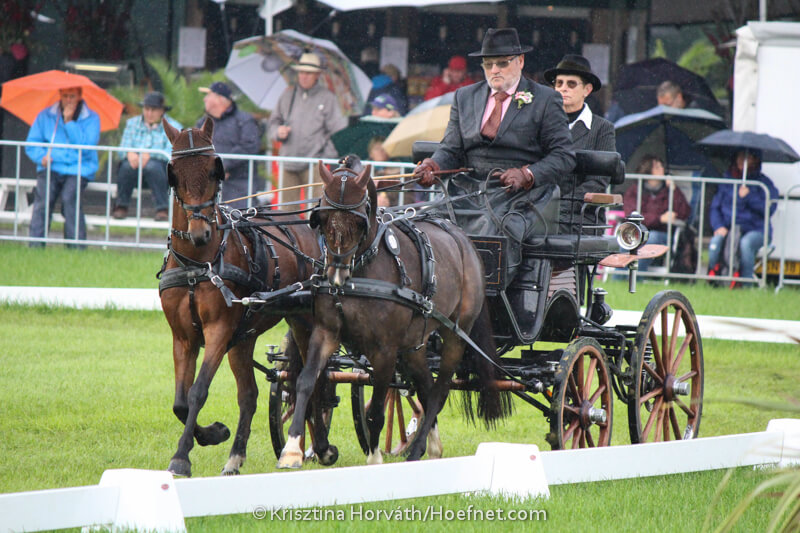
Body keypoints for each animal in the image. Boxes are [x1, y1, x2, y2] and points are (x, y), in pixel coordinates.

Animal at [159, 118, 321, 477]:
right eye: (174, 173)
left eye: (214, 169)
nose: (200, 232)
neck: (198, 264)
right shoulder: (183, 336)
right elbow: (178, 401)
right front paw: (214, 434)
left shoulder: (218, 330)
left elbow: (198, 391)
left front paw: (181, 457)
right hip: (244, 338)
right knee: (250, 394)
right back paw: (236, 456)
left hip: (304, 322)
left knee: (313, 381)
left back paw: (314, 447)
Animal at [276, 157, 511, 468]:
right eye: (322, 219)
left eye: (359, 220)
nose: (336, 274)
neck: (362, 269)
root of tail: (464, 240)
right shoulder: (326, 332)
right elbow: (305, 382)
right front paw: (292, 449)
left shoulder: (385, 350)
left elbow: (376, 408)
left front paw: (375, 457)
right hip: (414, 344)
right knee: (425, 386)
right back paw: (432, 448)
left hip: (455, 335)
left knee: (439, 391)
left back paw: (416, 449)